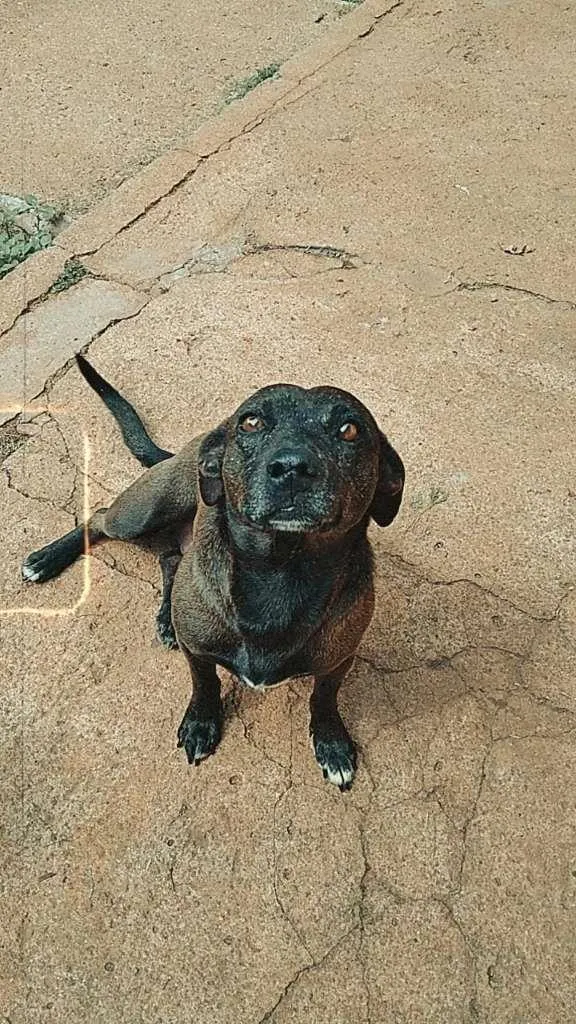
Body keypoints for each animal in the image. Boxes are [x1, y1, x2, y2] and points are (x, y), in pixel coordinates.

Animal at [23, 358, 403, 790]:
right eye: (251, 422)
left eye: (349, 429)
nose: (291, 467)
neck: (279, 571)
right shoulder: (199, 652)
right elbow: (205, 683)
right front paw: (201, 724)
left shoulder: (338, 660)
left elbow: (323, 698)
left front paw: (332, 742)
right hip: (141, 515)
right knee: (100, 517)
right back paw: (46, 559)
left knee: (171, 559)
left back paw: (165, 617)